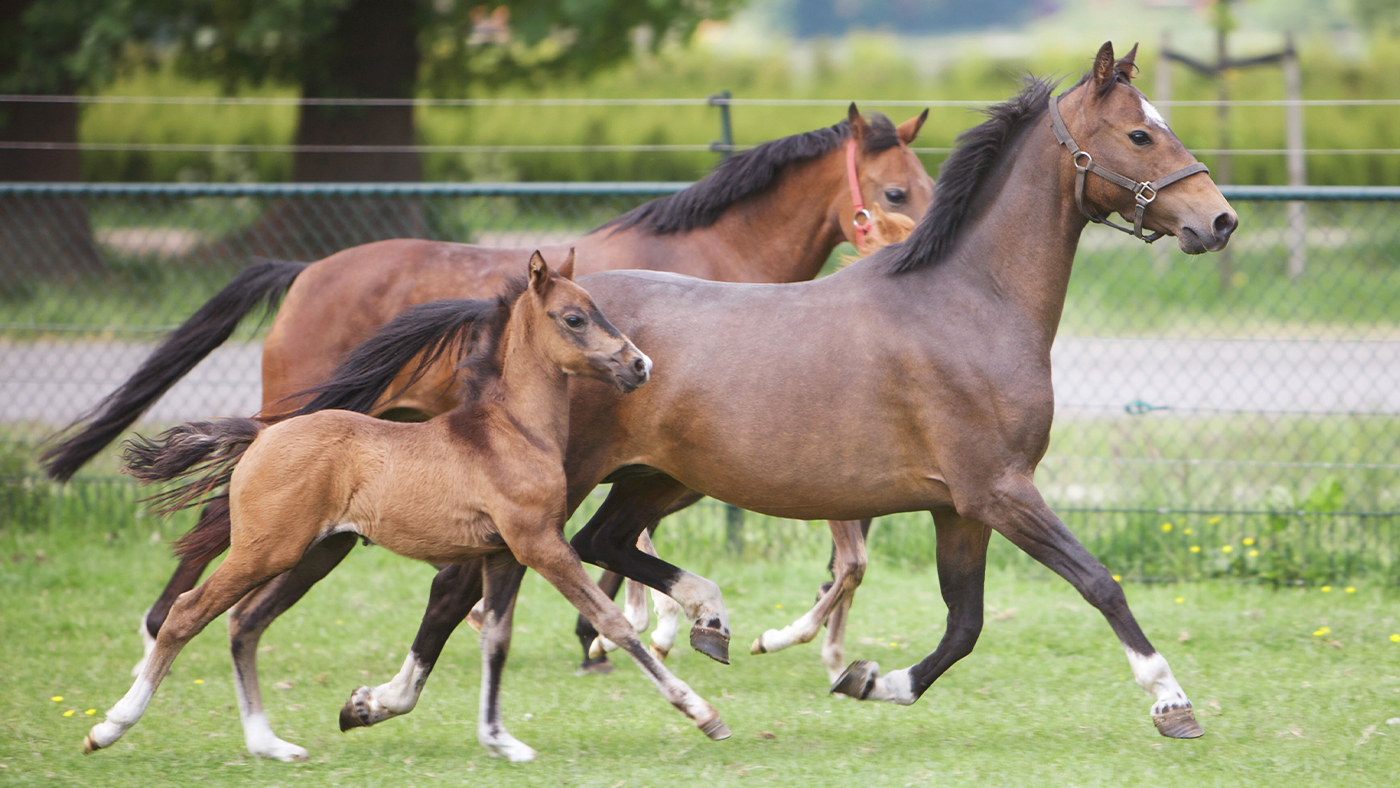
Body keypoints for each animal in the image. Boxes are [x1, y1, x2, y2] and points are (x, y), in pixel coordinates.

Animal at [41, 105, 935, 675]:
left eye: (927, 188)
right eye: (894, 192)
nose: (916, 250)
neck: (711, 265)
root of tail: (304, 270)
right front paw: (624, 637)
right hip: (304, 422)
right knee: (212, 522)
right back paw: (159, 632)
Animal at [82, 251, 730, 763]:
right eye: (574, 317)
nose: (641, 365)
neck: (509, 430)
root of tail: (262, 434)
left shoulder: (503, 553)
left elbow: (496, 639)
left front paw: (498, 740)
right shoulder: (540, 545)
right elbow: (613, 622)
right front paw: (702, 712)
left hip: (318, 553)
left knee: (244, 622)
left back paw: (270, 743)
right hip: (266, 549)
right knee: (188, 613)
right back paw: (110, 728)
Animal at [297, 42, 1236, 740]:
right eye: (1140, 136)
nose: (1218, 220)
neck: (968, 301)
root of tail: (516, 306)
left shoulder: (960, 507)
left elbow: (962, 625)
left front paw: (870, 680)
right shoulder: (999, 490)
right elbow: (1099, 583)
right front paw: (1172, 702)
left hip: (654, 477)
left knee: (600, 544)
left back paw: (698, 621)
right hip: (561, 480)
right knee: (463, 585)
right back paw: (384, 700)